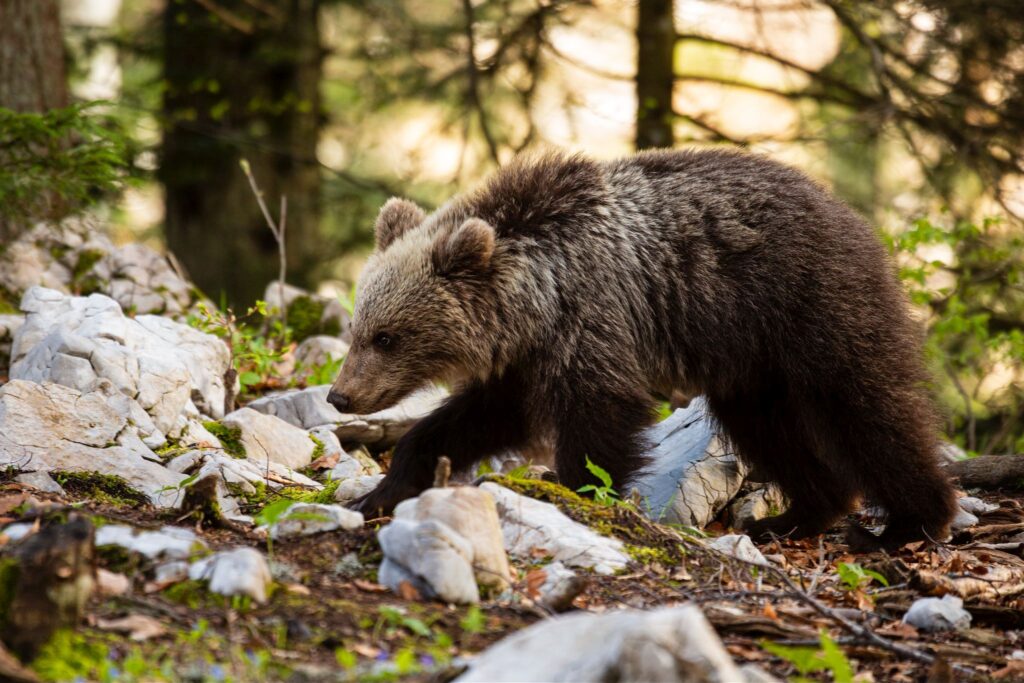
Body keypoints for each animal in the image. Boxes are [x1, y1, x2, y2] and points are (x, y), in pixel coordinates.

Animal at [329, 149, 958, 548]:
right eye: (359, 328)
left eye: (387, 336)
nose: (340, 395)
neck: (536, 293)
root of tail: (849, 213)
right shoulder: (526, 355)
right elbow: (475, 419)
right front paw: (380, 492)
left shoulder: (592, 312)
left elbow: (600, 415)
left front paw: (572, 488)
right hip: (751, 364)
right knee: (767, 430)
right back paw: (795, 517)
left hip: (812, 302)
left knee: (868, 406)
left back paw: (911, 522)